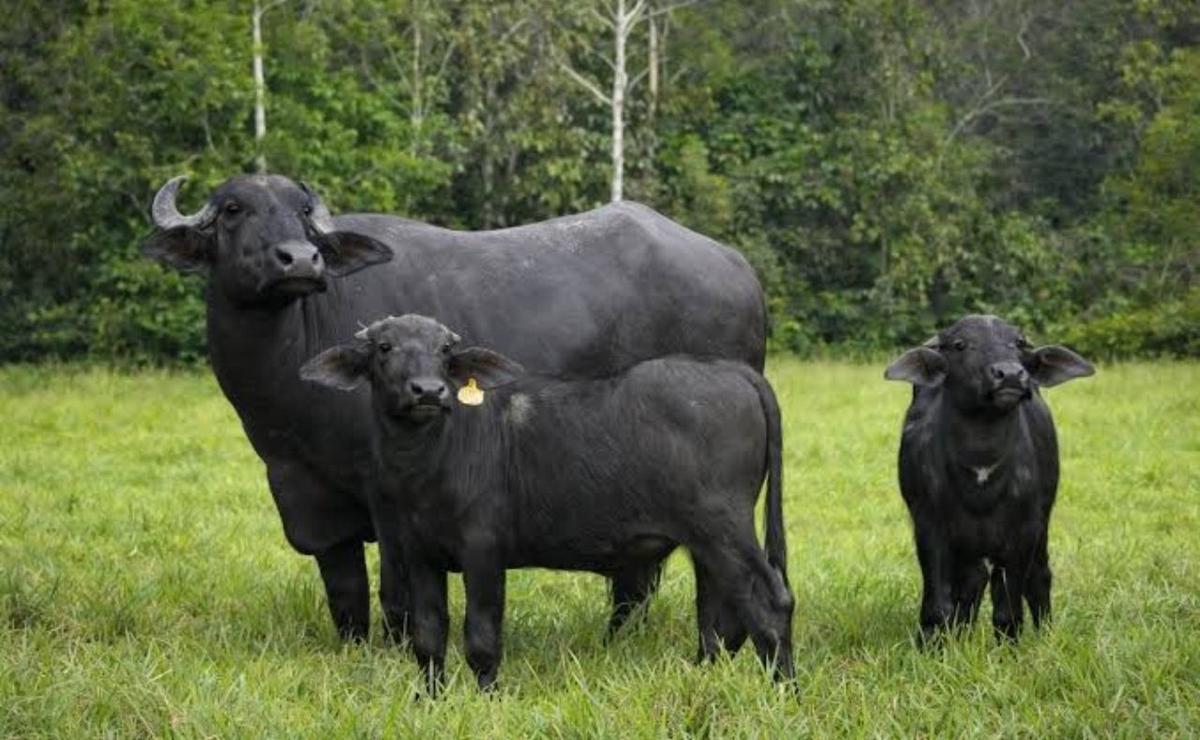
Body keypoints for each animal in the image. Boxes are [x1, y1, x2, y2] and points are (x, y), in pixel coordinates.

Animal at [141, 174, 767, 640]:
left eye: (302, 212)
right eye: (233, 209)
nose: (300, 260)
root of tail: (739, 269)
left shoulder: (388, 497)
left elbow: (396, 593)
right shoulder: (303, 487)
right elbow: (344, 592)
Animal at [301, 314, 793, 692]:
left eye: (444, 350)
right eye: (385, 347)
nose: (428, 391)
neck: (428, 462)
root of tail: (733, 372)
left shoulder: (483, 551)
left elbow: (481, 638)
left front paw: (488, 698)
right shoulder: (419, 554)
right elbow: (428, 637)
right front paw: (430, 698)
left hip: (724, 524)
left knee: (771, 602)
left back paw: (783, 692)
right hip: (707, 539)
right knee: (725, 615)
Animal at [885, 314, 1094, 641]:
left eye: (1019, 343)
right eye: (960, 344)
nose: (1010, 374)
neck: (980, 472)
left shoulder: (1024, 530)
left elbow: (1008, 607)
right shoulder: (929, 527)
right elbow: (938, 603)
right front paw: (932, 644)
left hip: (1041, 522)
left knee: (1038, 576)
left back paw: (1044, 633)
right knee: (973, 581)